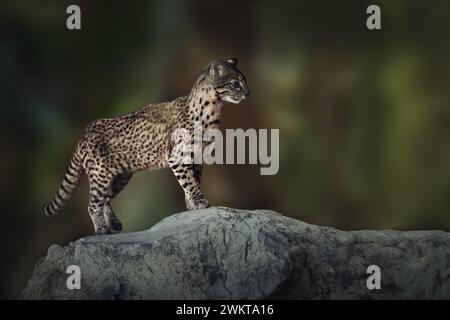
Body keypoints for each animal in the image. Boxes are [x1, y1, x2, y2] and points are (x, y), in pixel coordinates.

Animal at [42, 58, 250, 232]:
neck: (213, 108)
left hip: (119, 176)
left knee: (105, 200)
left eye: (245, 81)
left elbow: (193, 181)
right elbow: (189, 182)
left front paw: (192, 205)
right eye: (235, 83)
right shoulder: (176, 156)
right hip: (100, 174)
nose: (248, 93)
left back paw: (114, 223)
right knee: (93, 204)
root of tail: (85, 130)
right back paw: (102, 229)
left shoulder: (197, 157)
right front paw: (198, 202)